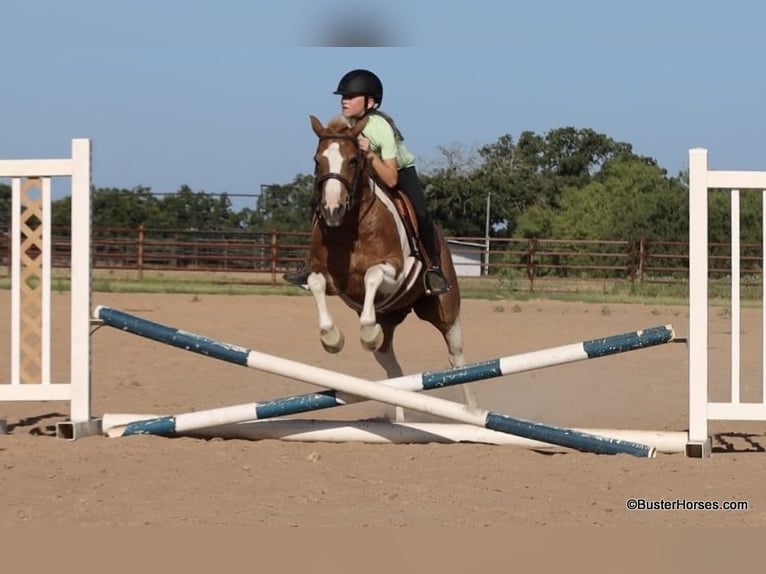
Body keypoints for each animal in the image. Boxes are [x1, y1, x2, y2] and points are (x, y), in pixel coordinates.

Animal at [304, 114, 477, 419]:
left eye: (353, 160)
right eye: (317, 160)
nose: (332, 211)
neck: (348, 228)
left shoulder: (399, 269)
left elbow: (372, 275)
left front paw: (366, 330)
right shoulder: (327, 276)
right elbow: (316, 284)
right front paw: (332, 338)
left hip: (446, 311)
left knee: (457, 360)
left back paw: (471, 413)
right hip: (389, 325)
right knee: (394, 371)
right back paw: (398, 416)